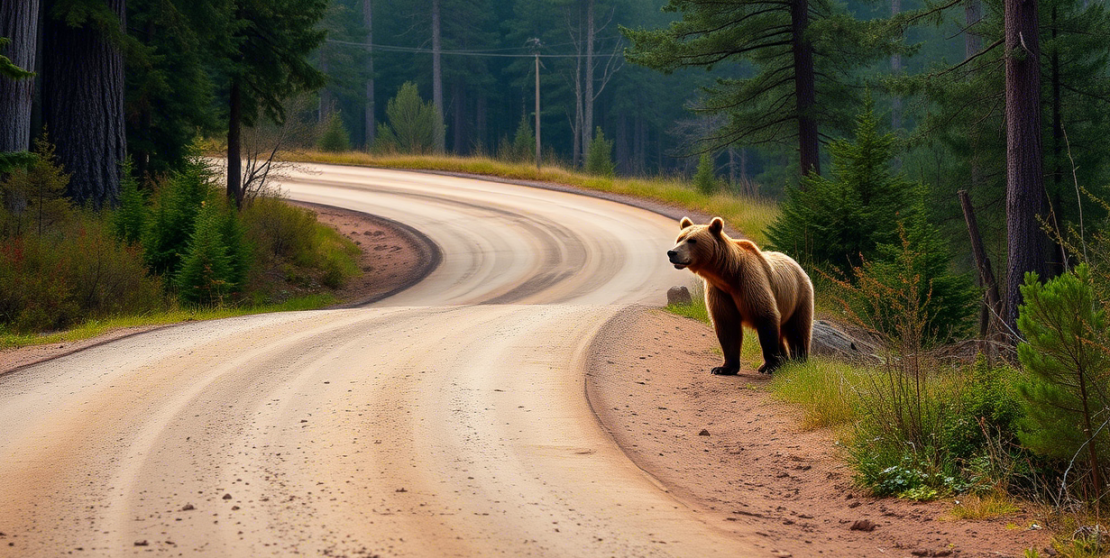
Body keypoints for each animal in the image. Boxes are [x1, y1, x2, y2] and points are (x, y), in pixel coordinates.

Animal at [667, 216, 814, 375]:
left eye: (692, 240)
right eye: (679, 238)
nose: (672, 253)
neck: (728, 275)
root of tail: (795, 262)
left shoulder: (749, 281)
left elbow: (765, 315)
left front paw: (770, 365)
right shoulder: (720, 291)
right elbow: (727, 326)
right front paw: (723, 368)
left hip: (799, 296)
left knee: (797, 329)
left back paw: (799, 361)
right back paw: (784, 360)